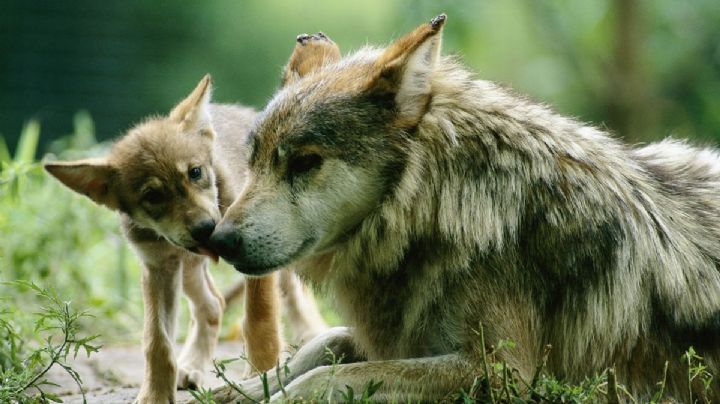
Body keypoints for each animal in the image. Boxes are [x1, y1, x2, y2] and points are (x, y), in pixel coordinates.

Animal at [44, 35, 336, 403]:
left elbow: (259, 318)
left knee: (294, 298)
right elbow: (157, 342)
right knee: (212, 305)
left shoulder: (254, 259)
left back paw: (314, 337)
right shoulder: (157, 268)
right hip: (188, 269)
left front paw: (261, 375)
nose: (206, 230)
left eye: (195, 172)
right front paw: (155, 394)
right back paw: (192, 366)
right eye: (153, 197)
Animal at [207, 15, 720, 402]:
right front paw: (232, 391)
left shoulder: (501, 372)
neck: (443, 205)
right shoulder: (401, 334)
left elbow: (323, 379)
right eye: (254, 161)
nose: (219, 239)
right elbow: (317, 349)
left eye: (305, 162)